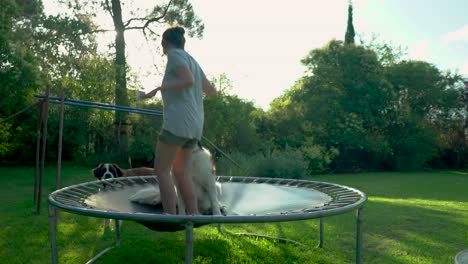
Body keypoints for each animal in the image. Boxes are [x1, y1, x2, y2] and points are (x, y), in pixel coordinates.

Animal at [93, 144, 223, 217]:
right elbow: (181, 206)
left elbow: (214, 202)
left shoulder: (210, 183)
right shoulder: (179, 188)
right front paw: (181, 216)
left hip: (217, 186)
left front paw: (217, 214)